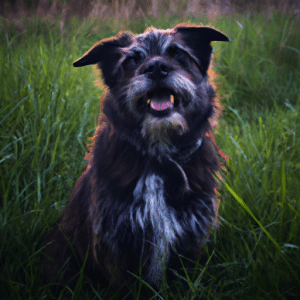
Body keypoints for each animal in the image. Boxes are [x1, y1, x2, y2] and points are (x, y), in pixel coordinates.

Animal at [42, 22, 230, 292]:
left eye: (177, 53)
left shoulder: (191, 239)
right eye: (133, 59)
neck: (158, 157)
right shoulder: (117, 242)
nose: (156, 68)